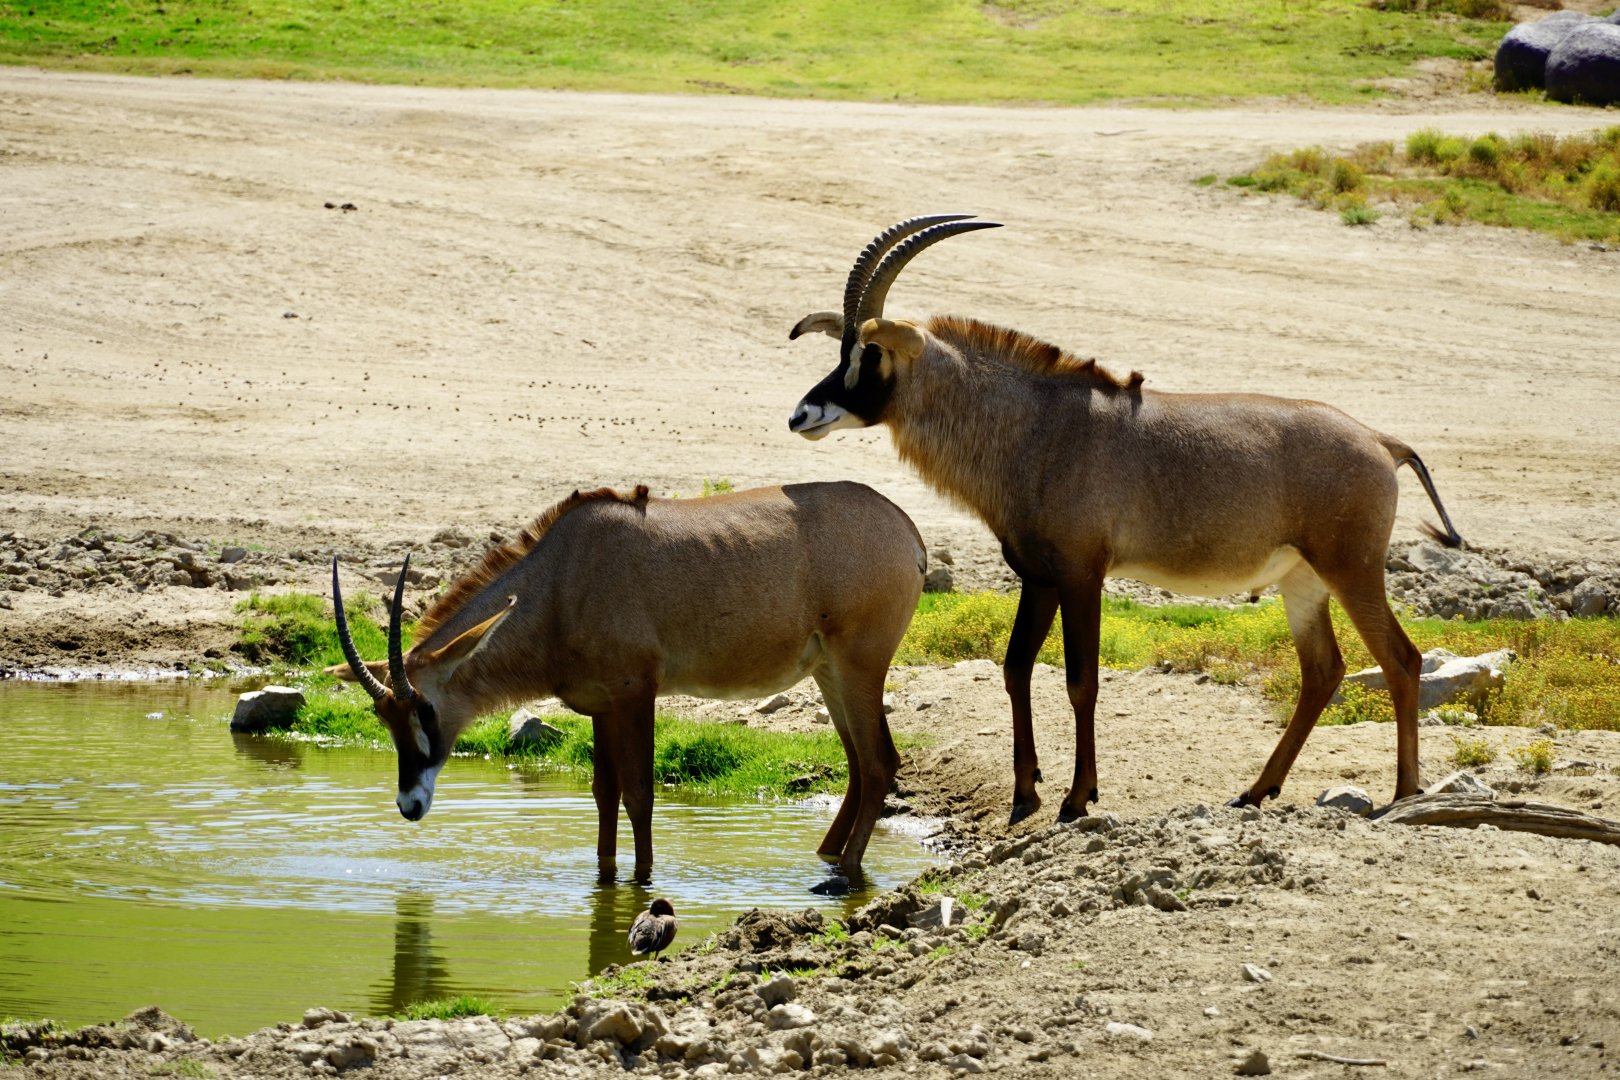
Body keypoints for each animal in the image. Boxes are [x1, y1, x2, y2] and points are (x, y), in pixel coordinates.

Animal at [329, 481, 924, 881]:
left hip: (858, 667)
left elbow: (639, 792)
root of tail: (907, 531)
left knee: (878, 763)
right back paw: (826, 857)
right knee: (859, 765)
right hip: (829, 674)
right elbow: (604, 792)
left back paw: (844, 874)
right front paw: (605, 874)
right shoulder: (601, 705)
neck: (563, 581)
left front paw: (641, 881)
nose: (409, 805)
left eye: (425, 709)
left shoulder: (637, 694)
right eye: (383, 718)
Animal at [787, 214, 1464, 824]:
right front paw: (1026, 792)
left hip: (1353, 570)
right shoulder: (1040, 577)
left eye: (870, 352)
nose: (802, 415)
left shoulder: (1083, 575)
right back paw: (1255, 792)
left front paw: (1076, 798)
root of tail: (1380, 441)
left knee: (1401, 660)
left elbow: (1080, 680)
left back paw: (1404, 794)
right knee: (1324, 671)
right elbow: (1015, 669)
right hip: (1303, 584)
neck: (1038, 426)